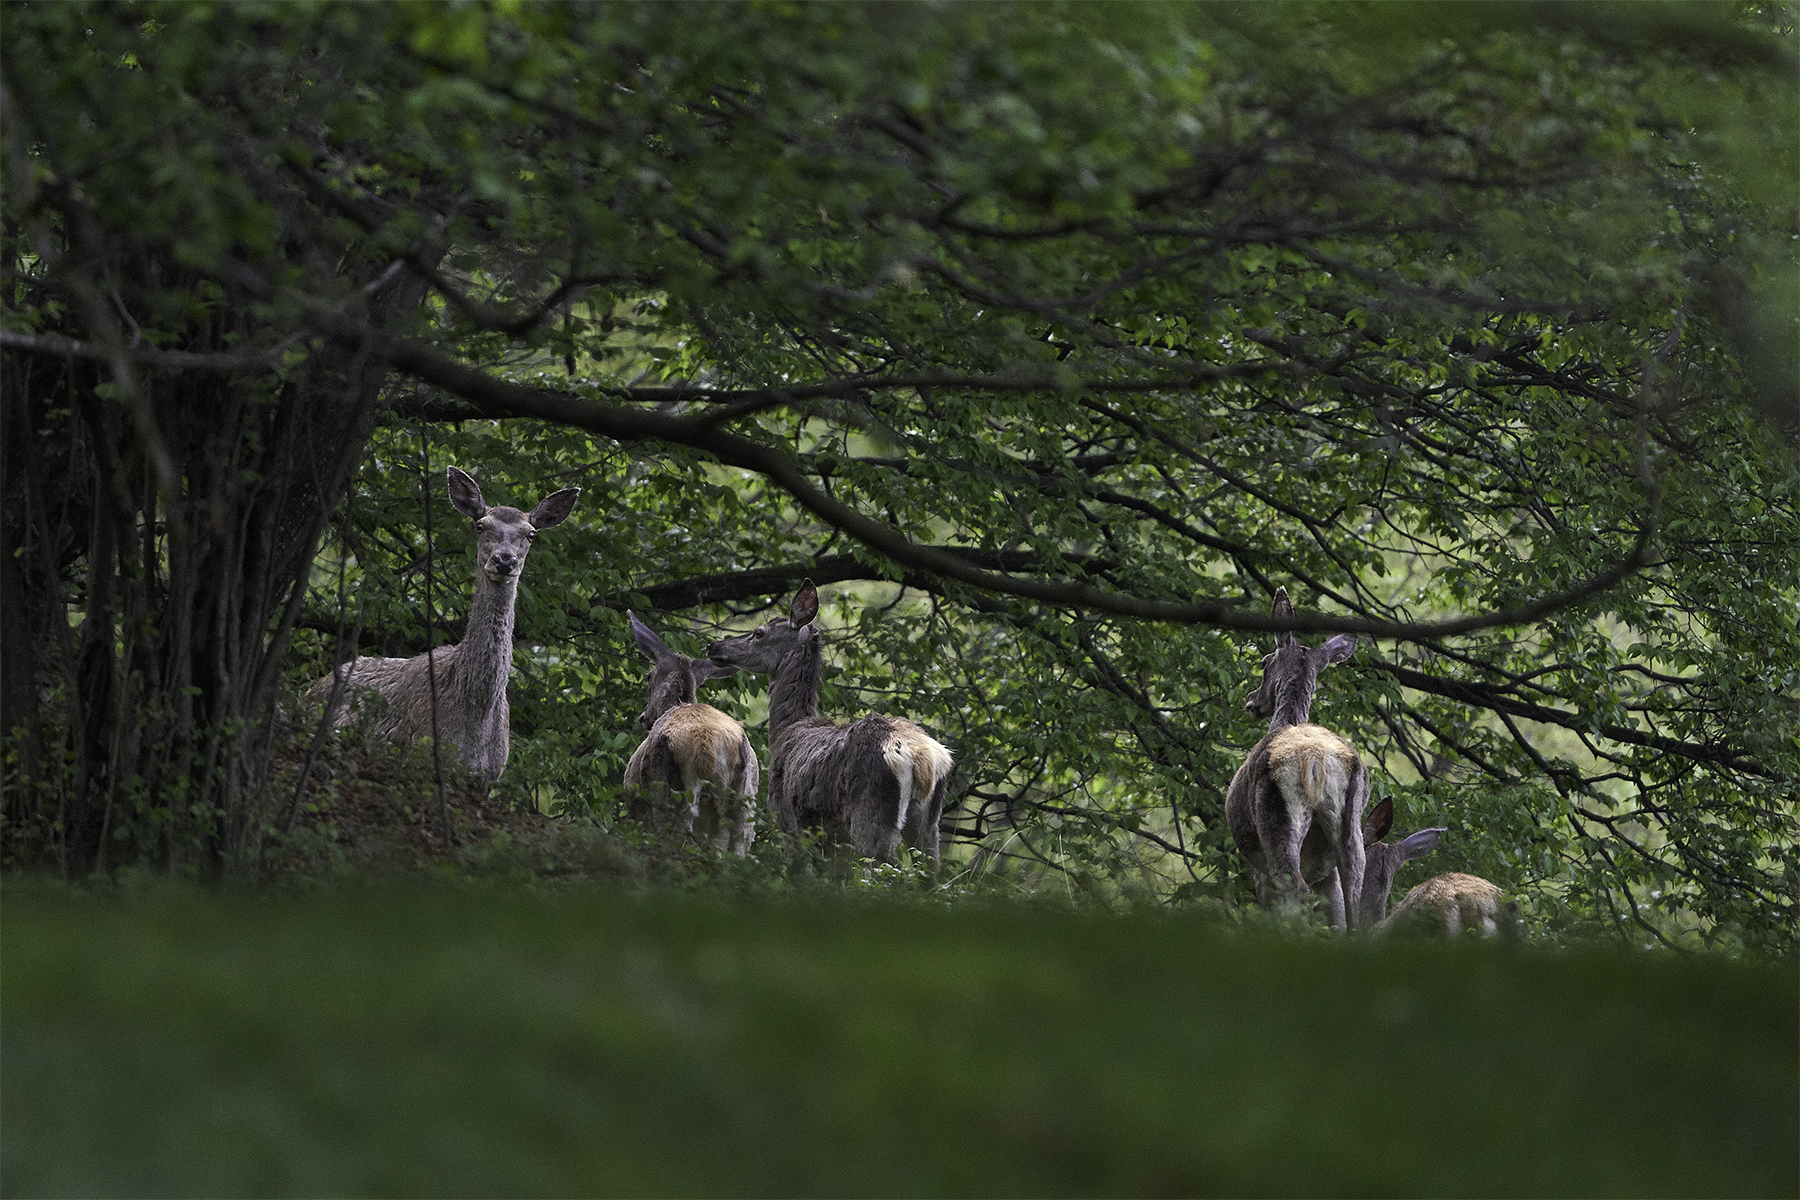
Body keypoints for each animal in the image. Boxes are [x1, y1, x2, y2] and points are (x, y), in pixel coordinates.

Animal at [307, 465, 579, 786]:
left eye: (531, 533)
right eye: (480, 525)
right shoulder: (420, 761)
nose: (504, 561)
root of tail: (310, 689)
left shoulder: (489, 777)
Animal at [705, 580, 953, 868]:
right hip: (929, 822)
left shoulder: (788, 819)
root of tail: (925, 758)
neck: (786, 729)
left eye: (759, 633)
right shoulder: (832, 838)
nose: (714, 646)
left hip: (872, 810)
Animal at [1225, 586, 1375, 930]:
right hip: (1350, 828)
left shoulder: (1259, 870)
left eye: (1265, 661)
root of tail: (1315, 757)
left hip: (1275, 816)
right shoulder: (1326, 872)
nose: (1251, 700)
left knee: (1293, 886)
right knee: (1356, 900)